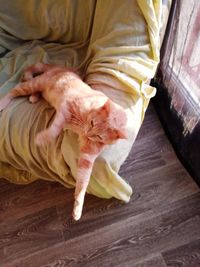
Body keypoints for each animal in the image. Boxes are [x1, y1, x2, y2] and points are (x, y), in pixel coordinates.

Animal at [0, 63, 128, 222]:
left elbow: (83, 183)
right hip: (35, 83)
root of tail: (59, 67)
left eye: (99, 136)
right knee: (17, 88)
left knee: (34, 91)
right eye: (92, 123)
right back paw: (3, 102)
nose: (88, 133)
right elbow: (55, 128)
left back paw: (34, 97)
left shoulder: (87, 158)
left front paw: (78, 208)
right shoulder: (66, 109)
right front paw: (42, 138)